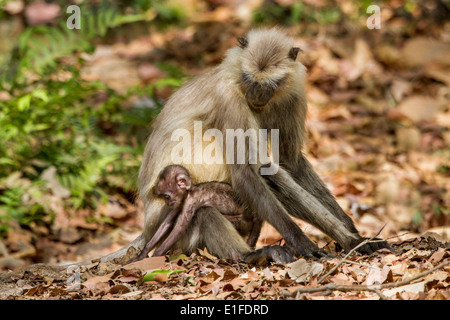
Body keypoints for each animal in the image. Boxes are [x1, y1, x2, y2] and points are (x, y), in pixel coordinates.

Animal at [132, 166, 262, 262]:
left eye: (167, 196)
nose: (167, 203)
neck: (189, 192)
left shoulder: (191, 202)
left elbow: (179, 228)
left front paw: (155, 255)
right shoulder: (179, 203)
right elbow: (166, 224)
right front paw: (142, 255)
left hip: (243, 223)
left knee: (204, 210)